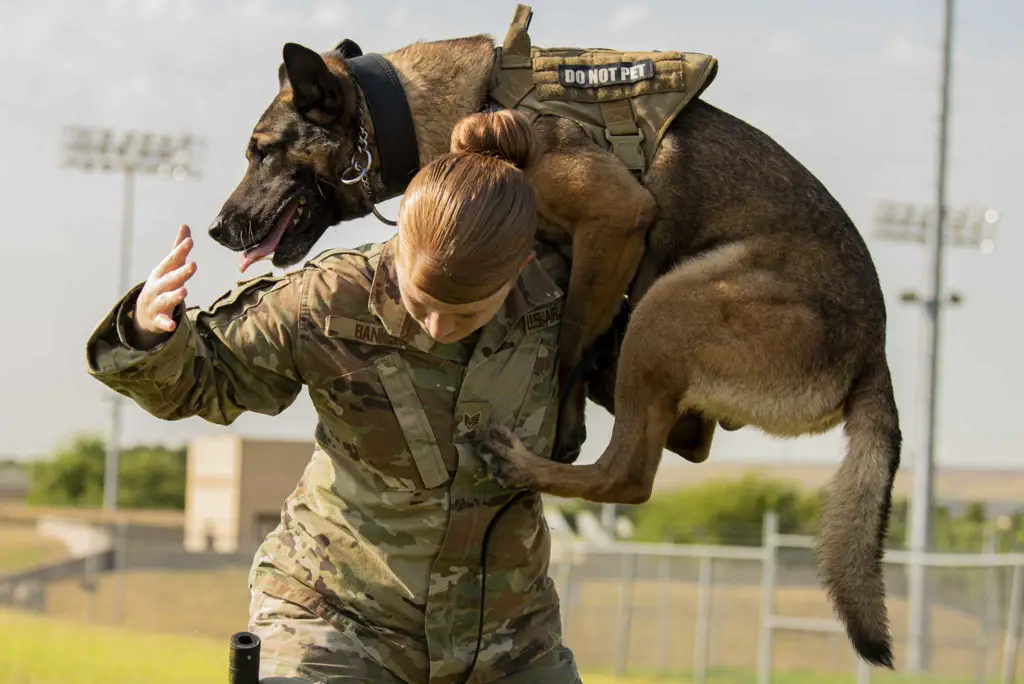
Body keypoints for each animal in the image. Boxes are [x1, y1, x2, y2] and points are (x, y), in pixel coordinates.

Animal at [205, 6, 897, 667]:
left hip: (669, 305)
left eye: (261, 151)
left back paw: (525, 458)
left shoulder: (616, 217)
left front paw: (563, 422)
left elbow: (566, 347)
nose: (217, 228)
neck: (459, 105)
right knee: (685, 439)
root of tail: (874, 358)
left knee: (629, 474)